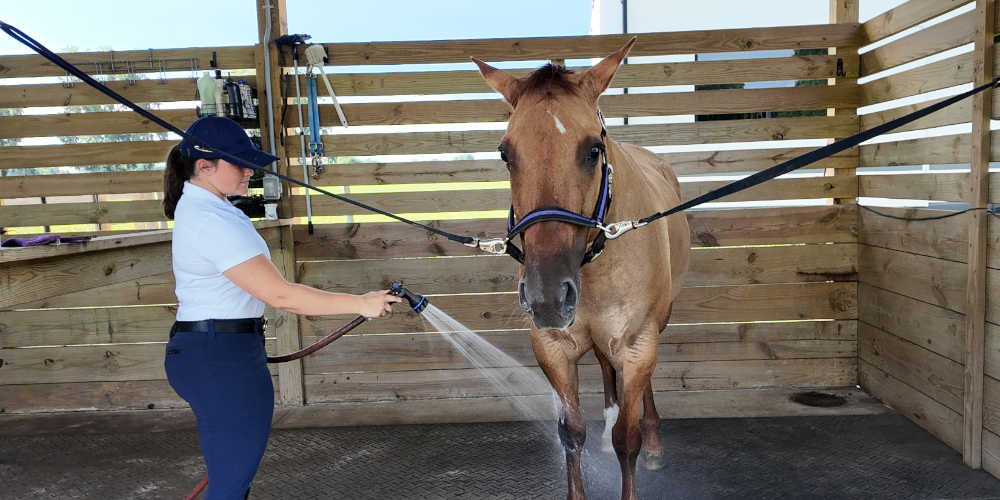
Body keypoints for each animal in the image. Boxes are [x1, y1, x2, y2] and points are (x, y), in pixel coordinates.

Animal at [473, 38, 690, 500]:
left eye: (593, 150)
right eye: (505, 154)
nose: (548, 297)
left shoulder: (638, 344)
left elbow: (628, 437)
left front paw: (638, 443)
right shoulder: (552, 346)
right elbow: (571, 432)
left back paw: (655, 442)